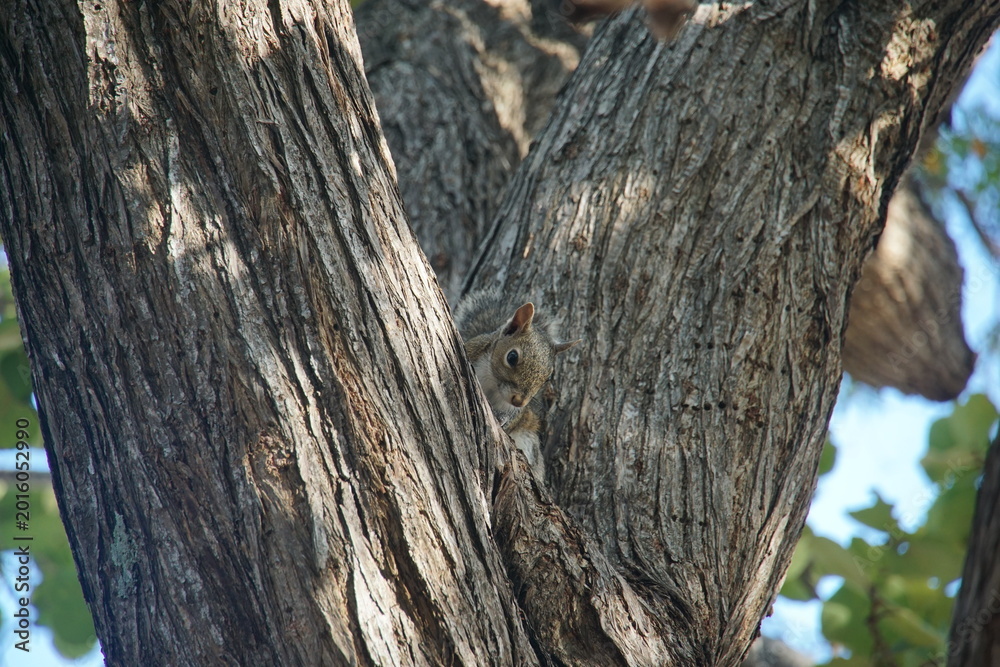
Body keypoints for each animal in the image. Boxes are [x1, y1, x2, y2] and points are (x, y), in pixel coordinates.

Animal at [455, 288, 580, 477]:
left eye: (548, 377)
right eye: (512, 357)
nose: (519, 401)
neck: (494, 384)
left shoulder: (517, 411)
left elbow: (513, 417)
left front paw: (502, 418)